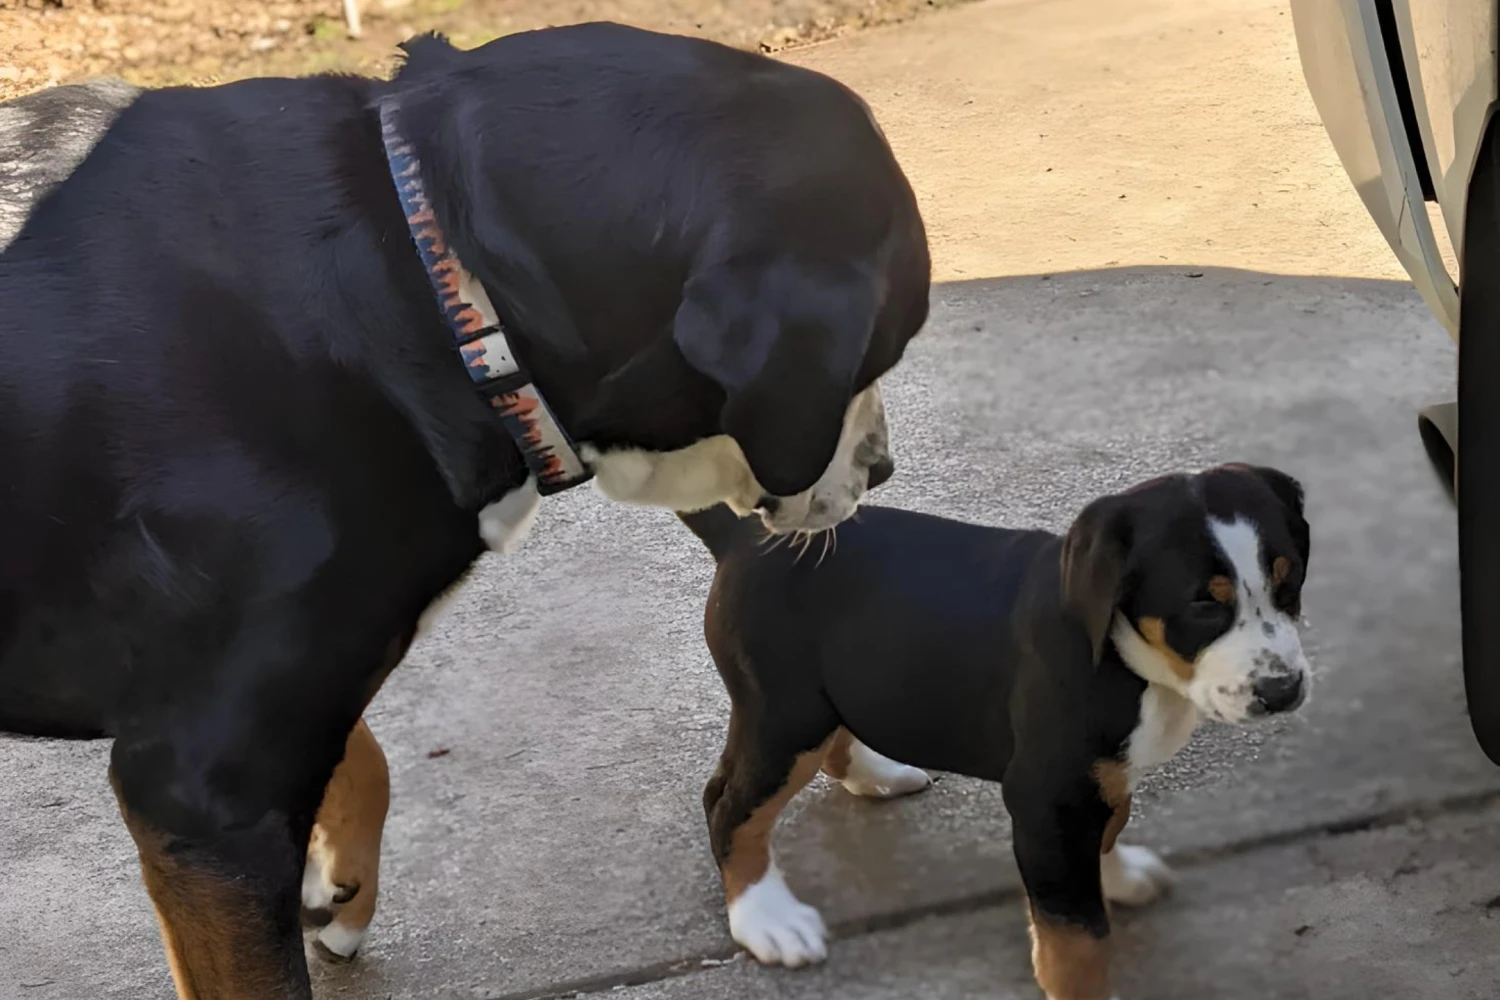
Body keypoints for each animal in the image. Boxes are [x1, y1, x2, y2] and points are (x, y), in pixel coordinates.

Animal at [0, 23, 930, 1000]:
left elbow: (364, 759)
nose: (882, 466)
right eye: (883, 348)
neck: (429, 273)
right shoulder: (206, 792)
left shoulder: (301, 687)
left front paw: (340, 889)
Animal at [684, 467, 1314, 1000]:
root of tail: (743, 537)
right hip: (784, 717)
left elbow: (1107, 832)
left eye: (1289, 585)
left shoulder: (1094, 780)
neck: (1123, 656)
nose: (1283, 690)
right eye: (1203, 604)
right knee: (727, 806)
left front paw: (1117, 877)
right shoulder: (1047, 796)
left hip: (825, 699)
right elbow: (1076, 937)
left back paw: (876, 776)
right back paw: (768, 918)